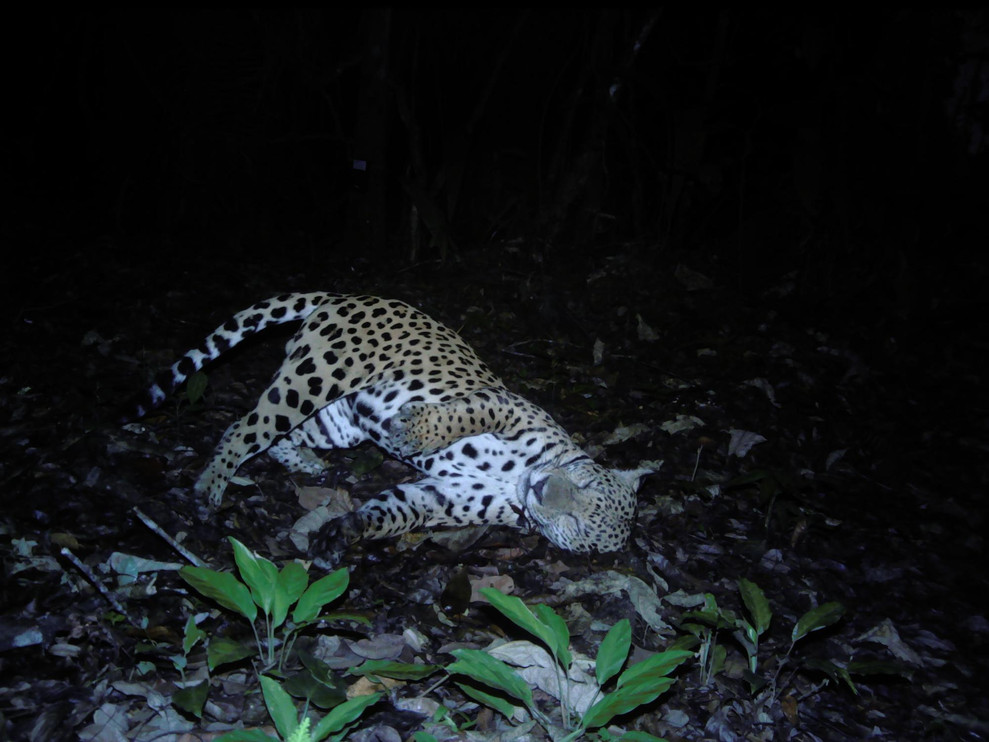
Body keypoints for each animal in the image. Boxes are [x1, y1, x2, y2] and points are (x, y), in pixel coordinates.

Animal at [131, 292, 658, 558]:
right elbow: (463, 414)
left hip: (338, 422)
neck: (518, 480)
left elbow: (394, 512)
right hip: (314, 378)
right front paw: (414, 431)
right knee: (243, 426)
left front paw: (344, 532)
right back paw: (210, 487)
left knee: (281, 434)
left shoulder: (445, 497)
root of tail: (349, 293)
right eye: (582, 482)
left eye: (575, 524)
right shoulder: (505, 404)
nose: (543, 489)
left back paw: (302, 460)